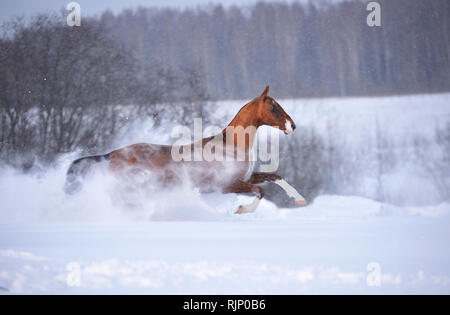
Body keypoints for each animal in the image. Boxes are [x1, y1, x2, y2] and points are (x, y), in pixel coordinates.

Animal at [66, 86, 306, 215]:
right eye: (273, 107)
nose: (292, 126)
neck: (231, 148)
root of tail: (112, 154)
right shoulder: (228, 185)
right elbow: (261, 192)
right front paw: (241, 210)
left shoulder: (248, 177)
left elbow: (276, 177)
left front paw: (300, 199)